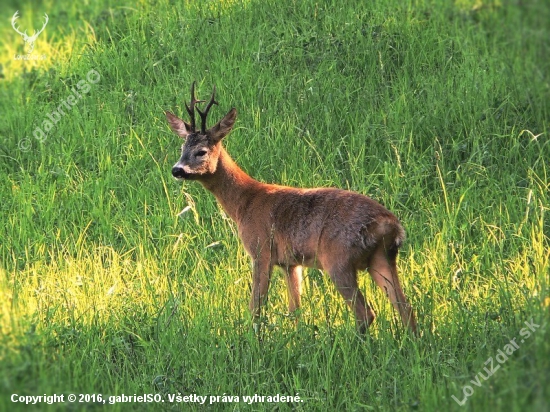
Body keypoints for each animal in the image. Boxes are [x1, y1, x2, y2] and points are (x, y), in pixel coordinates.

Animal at [168, 83, 418, 334]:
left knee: (366, 313)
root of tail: (390, 225)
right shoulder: (291, 263)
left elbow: (256, 307)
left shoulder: (261, 250)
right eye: (181, 148)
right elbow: (295, 310)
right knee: (406, 309)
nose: (177, 169)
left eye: (201, 151)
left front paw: (254, 337)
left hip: (338, 259)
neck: (244, 203)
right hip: (382, 258)